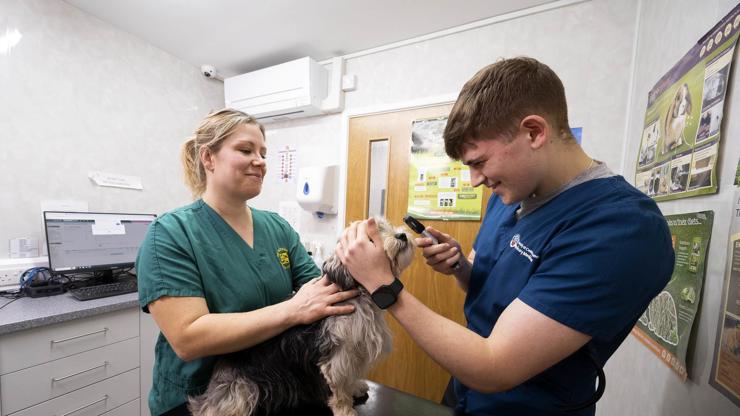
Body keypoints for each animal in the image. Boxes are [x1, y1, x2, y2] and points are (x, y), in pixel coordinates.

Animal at [188, 218, 414, 416]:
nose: (402, 235)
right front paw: (345, 409)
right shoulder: (337, 358)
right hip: (239, 390)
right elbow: (339, 388)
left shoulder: (354, 351)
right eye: (371, 236)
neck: (360, 294)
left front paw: (354, 387)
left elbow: (348, 378)